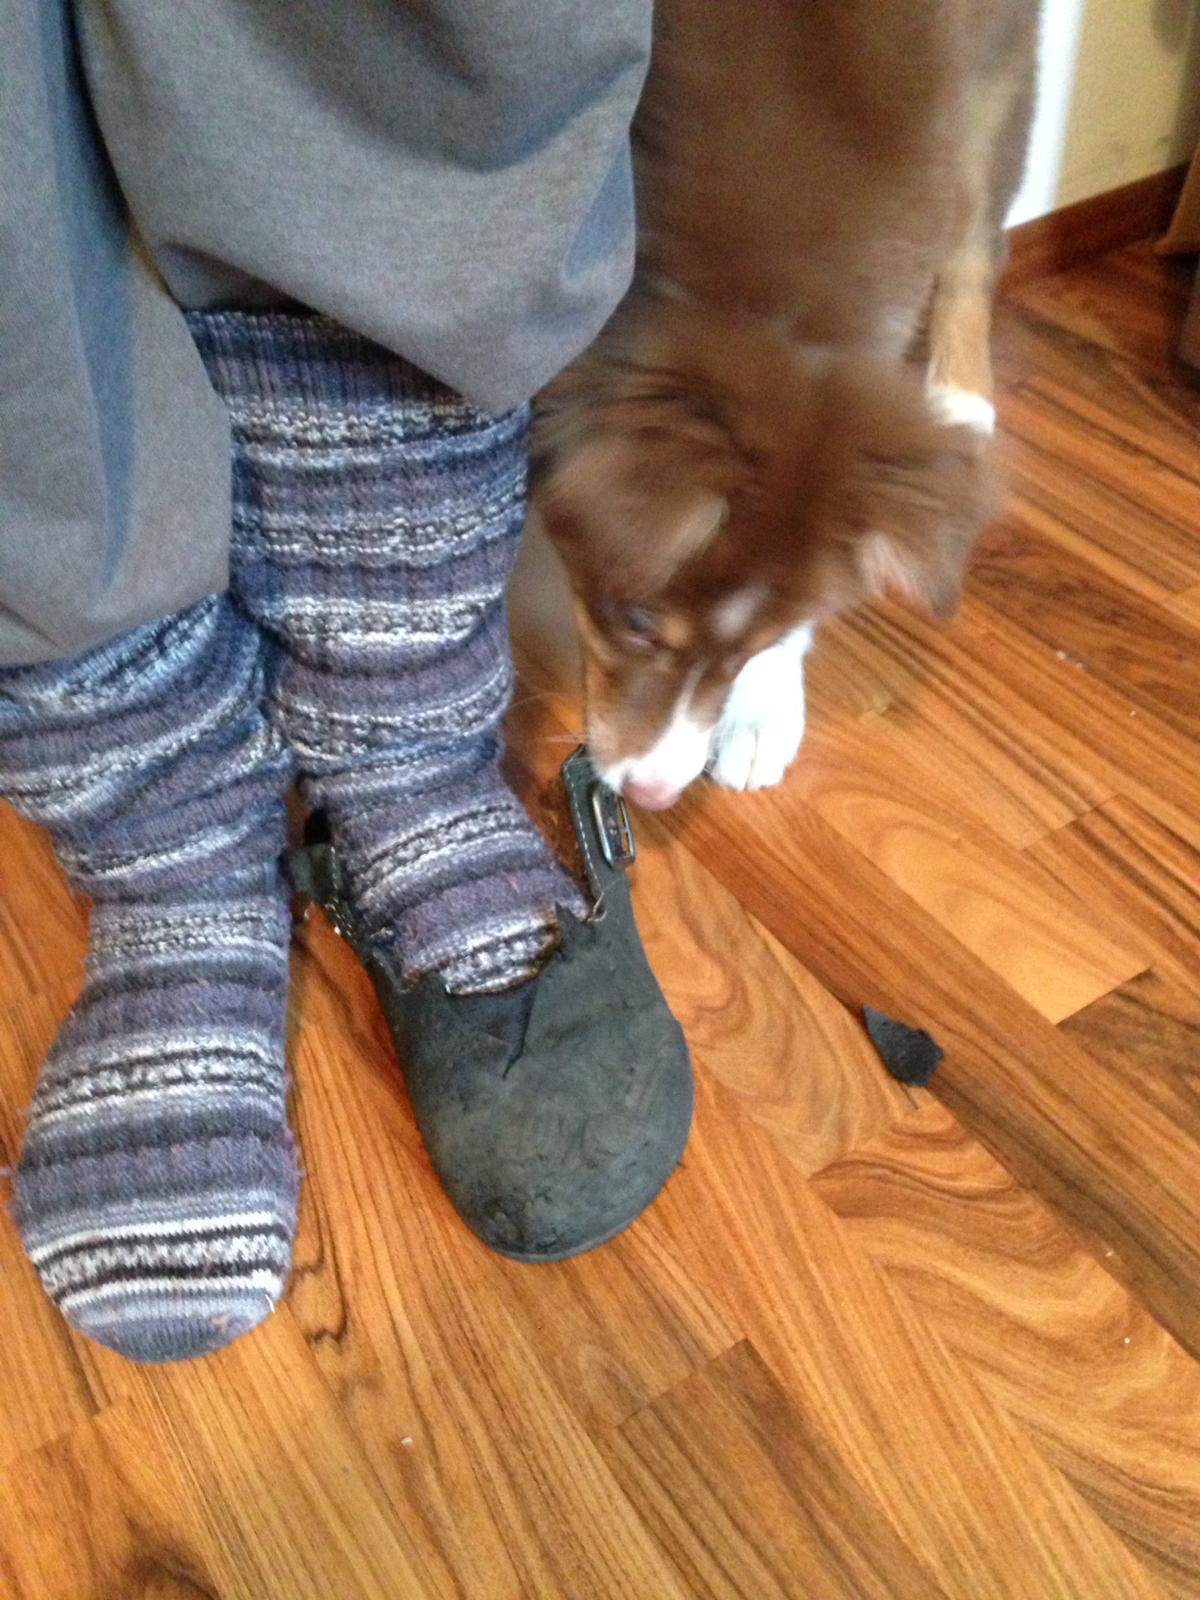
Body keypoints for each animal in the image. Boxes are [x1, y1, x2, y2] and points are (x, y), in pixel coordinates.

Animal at [532, 0, 1037, 809]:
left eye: (755, 646)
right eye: (637, 622)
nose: (653, 795)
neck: (764, 313)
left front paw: (762, 711)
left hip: (996, 69)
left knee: (977, 241)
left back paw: (962, 406)